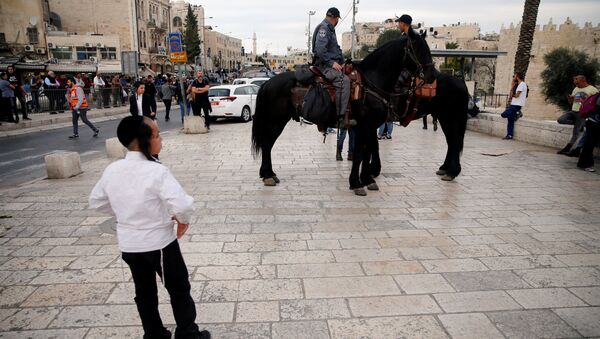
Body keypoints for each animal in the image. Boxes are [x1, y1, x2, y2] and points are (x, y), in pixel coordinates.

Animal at [251, 29, 466, 197]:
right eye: (417, 49)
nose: (431, 75)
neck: (371, 82)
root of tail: (267, 83)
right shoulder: (365, 125)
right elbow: (364, 151)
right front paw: (359, 181)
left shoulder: (368, 126)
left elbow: (365, 150)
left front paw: (366, 178)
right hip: (276, 120)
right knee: (267, 144)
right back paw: (268, 175)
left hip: (447, 117)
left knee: (453, 141)